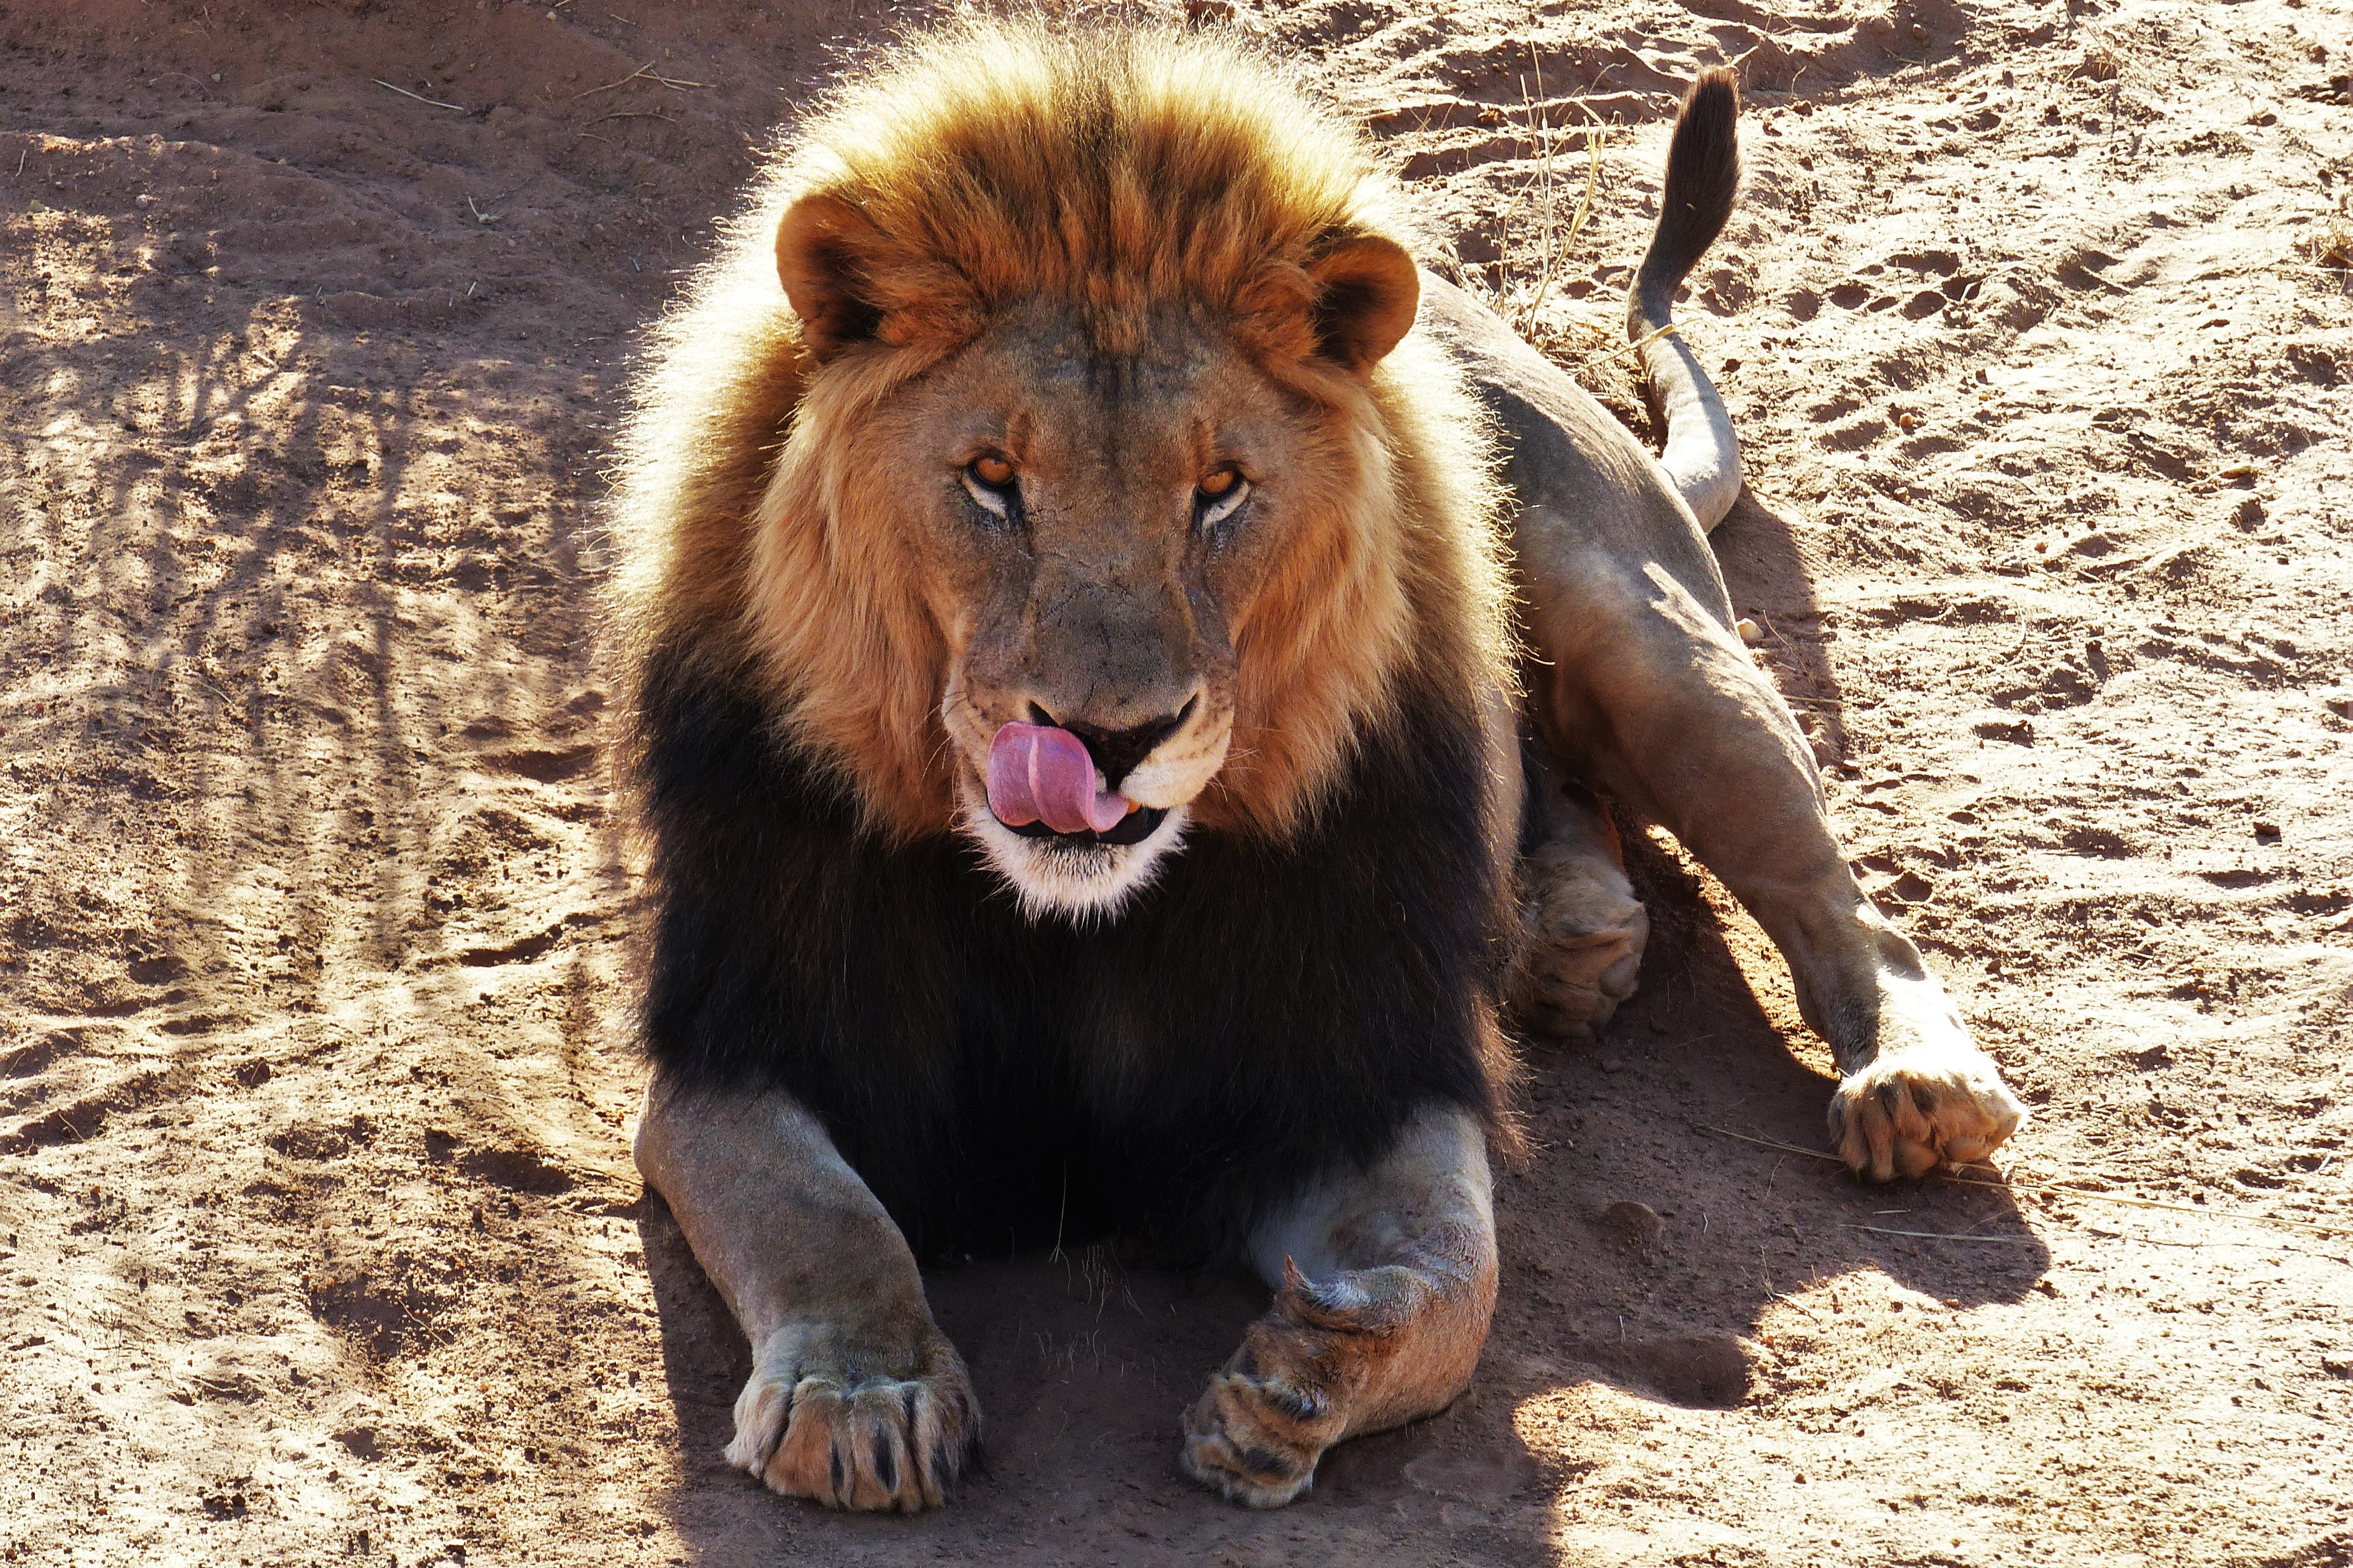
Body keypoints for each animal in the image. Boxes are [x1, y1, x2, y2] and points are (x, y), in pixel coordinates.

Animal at [609, 22, 2024, 1514]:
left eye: (1219, 490)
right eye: (992, 478)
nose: (1107, 737)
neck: (1066, 922)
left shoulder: (1359, 1065)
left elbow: (1455, 1272)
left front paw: (1304, 1375)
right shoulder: (735, 1047)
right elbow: (821, 1216)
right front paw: (859, 1396)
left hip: (1652, 642)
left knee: (1840, 902)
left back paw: (1910, 1082)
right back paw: (1567, 933)